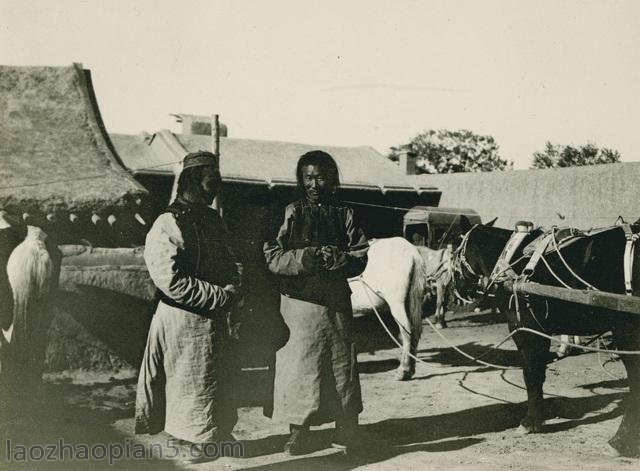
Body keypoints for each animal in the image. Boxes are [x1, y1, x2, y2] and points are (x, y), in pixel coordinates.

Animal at [348, 238, 428, 382]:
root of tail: (412, 251)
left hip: (397, 303)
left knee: (407, 331)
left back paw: (403, 371)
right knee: (415, 331)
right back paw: (410, 368)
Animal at [464, 223, 640, 460]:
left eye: (456, 248)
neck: (512, 259)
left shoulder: (526, 329)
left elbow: (531, 374)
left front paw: (531, 422)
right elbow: (538, 374)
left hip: (626, 332)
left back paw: (620, 442)